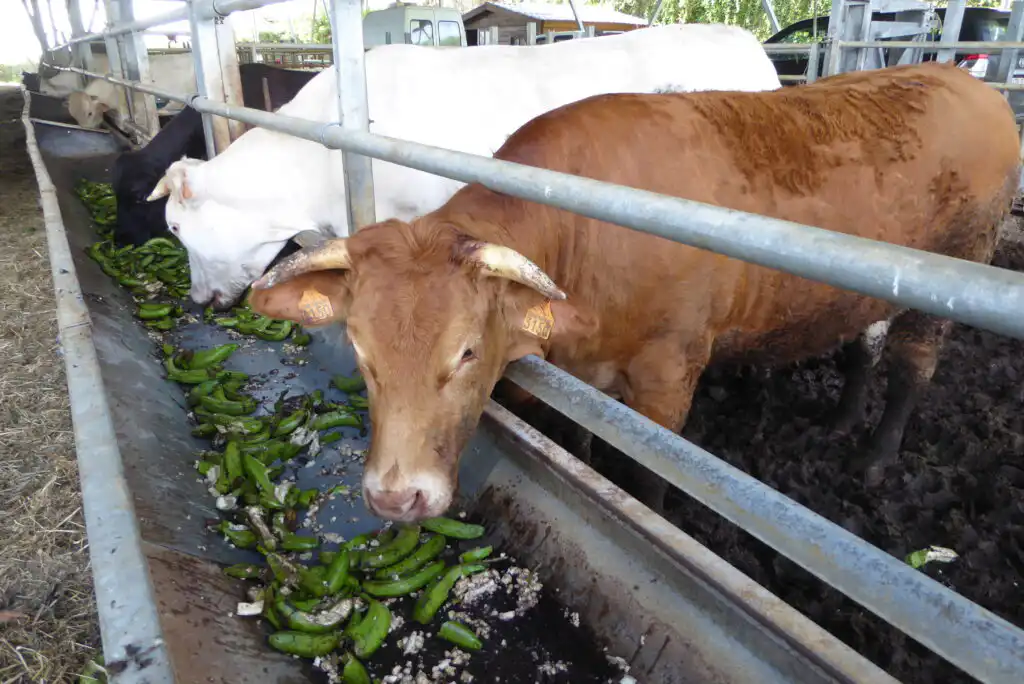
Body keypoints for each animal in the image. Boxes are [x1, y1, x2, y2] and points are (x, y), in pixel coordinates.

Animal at [243, 62, 1020, 522]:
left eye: (464, 353)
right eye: (360, 350)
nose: (395, 495)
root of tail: (958, 77)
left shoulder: (668, 374)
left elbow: (650, 474)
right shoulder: (585, 372)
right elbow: (586, 444)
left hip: (961, 261)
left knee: (914, 365)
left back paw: (875, 457)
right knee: (865, 342)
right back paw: (841, 418)